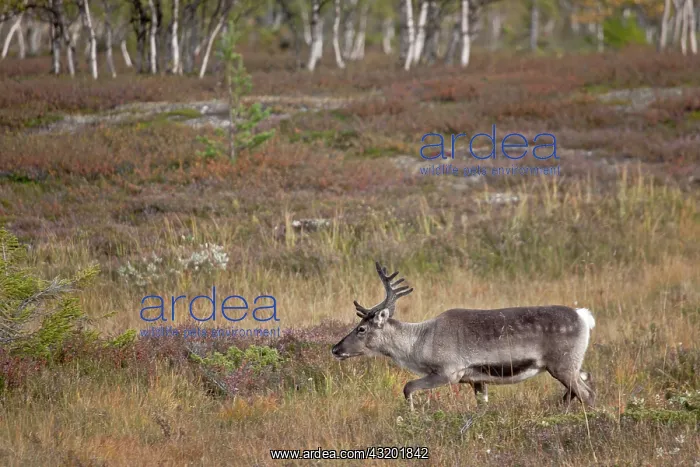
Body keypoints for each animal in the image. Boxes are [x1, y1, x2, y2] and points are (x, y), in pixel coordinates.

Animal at [331, 262, 596, 411]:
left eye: (361, 329)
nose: (335, 349)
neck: (419, 343)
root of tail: (584, 316)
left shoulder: (448, 372)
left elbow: (407, 387)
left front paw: (411, 416)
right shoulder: (477, 379)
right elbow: (481, 407)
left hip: (562, 365)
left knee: (587, 394)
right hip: (570, 365)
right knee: (582, 384)